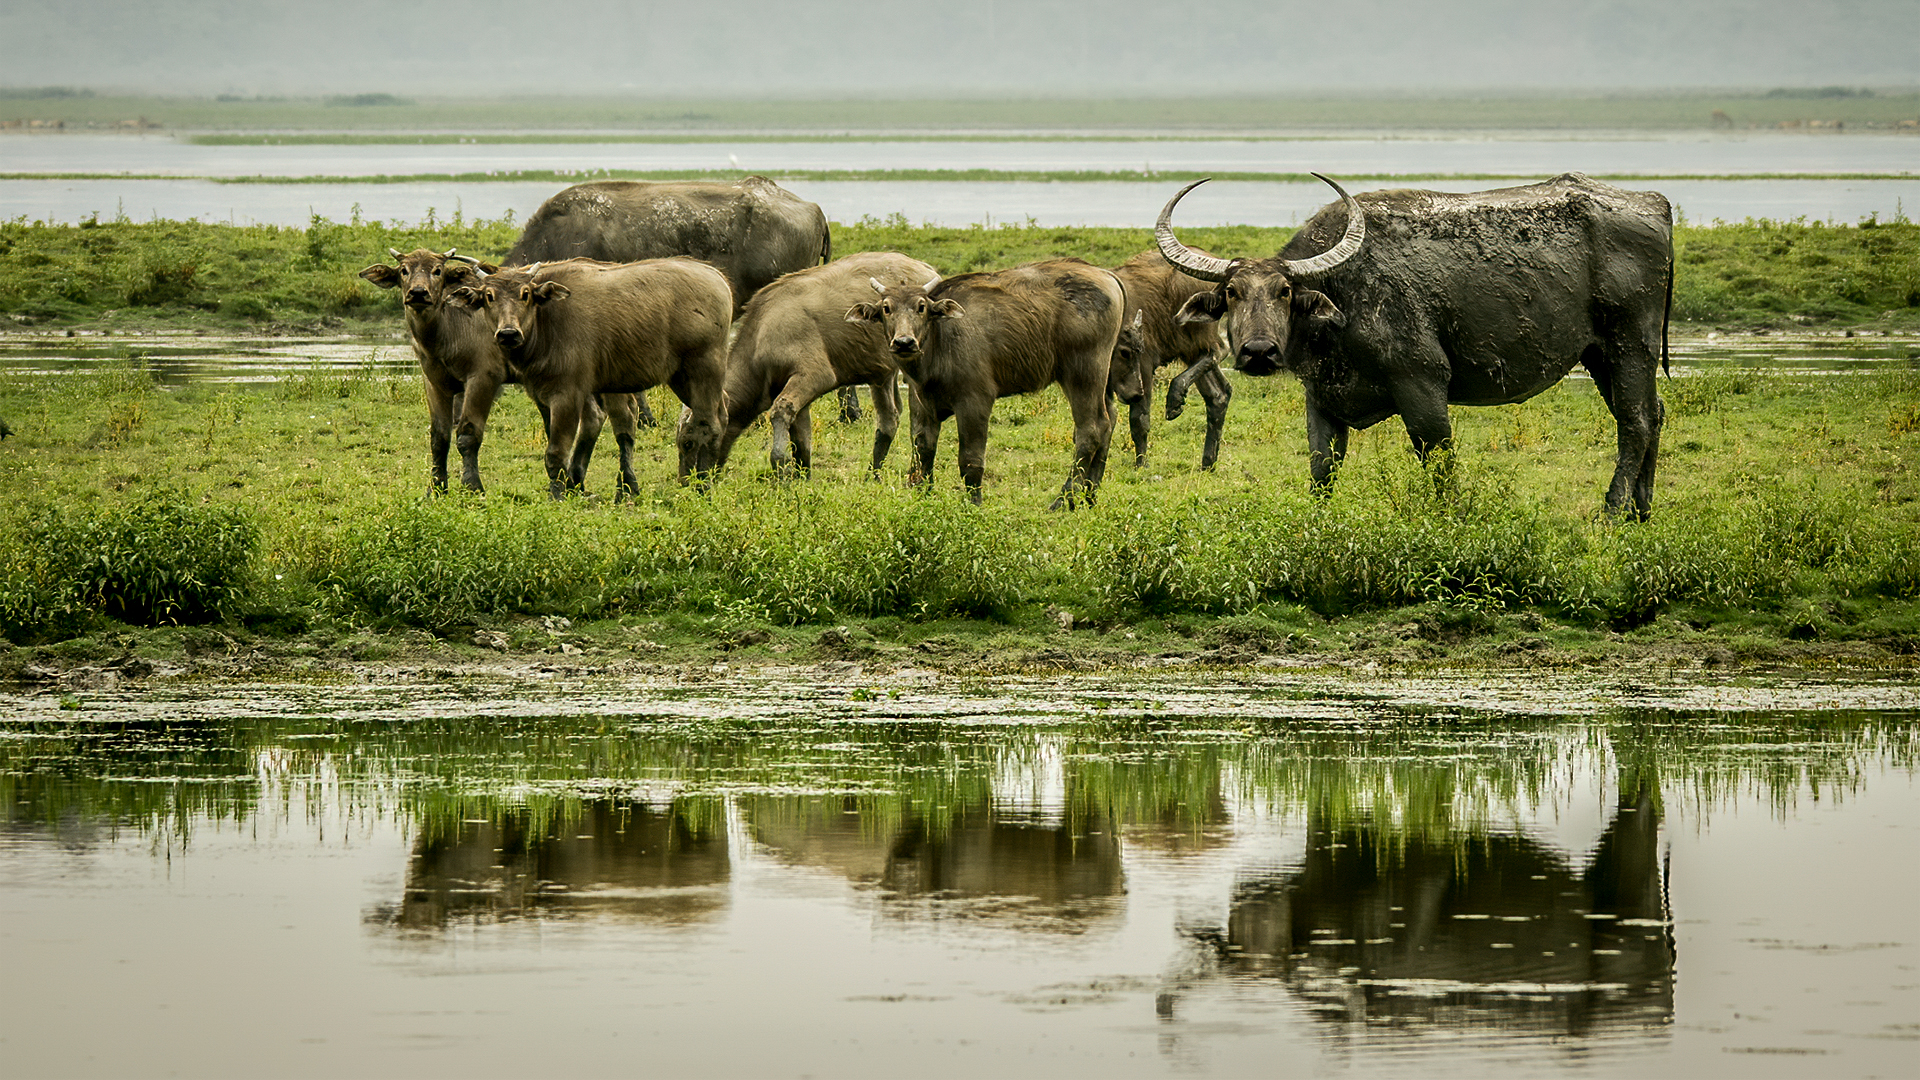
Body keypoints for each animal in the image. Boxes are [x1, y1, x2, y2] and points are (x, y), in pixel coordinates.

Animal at [449, 255, 733, 495]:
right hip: (681, 378)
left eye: (525, 294)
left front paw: (558, 495)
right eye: (489, 296)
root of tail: (716, 277)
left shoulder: (567, 393)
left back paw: (702, 484)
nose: (508, 334)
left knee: (707, 423)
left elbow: (556, 452)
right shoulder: (543, 394)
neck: (547, 321)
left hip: (704, 370)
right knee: (721, 414)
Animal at [718, 251, 940, 474]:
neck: (761, 332)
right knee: (891, 417)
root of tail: (926, 268)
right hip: (883, 373)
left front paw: (780, 464)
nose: (706, 475)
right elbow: (802, 439)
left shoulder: (815, 375)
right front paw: (802, 476)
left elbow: (780, 412)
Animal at [844, 255, 1136, 503]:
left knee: (1091, 429)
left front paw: (974, 503)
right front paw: (922, 497)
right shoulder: (922, 403)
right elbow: (923, 451)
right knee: (1109, 421)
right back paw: (1090, 495)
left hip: (1082, 374)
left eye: (921, 307)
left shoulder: (975, 401)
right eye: (886, 308)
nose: (904, 342)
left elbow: (970, 460)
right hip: (1103, 377)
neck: (940, 342)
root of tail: (1105, 274)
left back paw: (1065, 500)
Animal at [1113, 253, 1228, 472]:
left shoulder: (1144, 367)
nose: (1130, 395)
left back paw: (1175, 398)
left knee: (1220, 350)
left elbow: (1139, 420)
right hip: (1191, 350)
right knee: (1219, 393)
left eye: (1129, 352)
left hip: (1199, 334)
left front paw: (1142, 465)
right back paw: (1208, 462)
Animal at [1152, 169, 1666, 518]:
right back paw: (1641, 510)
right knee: (1651, 415)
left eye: (1284, 292)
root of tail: (1652, 202)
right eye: (1232, 293)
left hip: (1630, 345)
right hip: (1599, 355)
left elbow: (1438, 461)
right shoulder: (1322, 398)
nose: (1259, 353)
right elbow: (1322, 468)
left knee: (1636, 422)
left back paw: (1613, 510)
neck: (1345, 298)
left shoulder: (1422, 386)